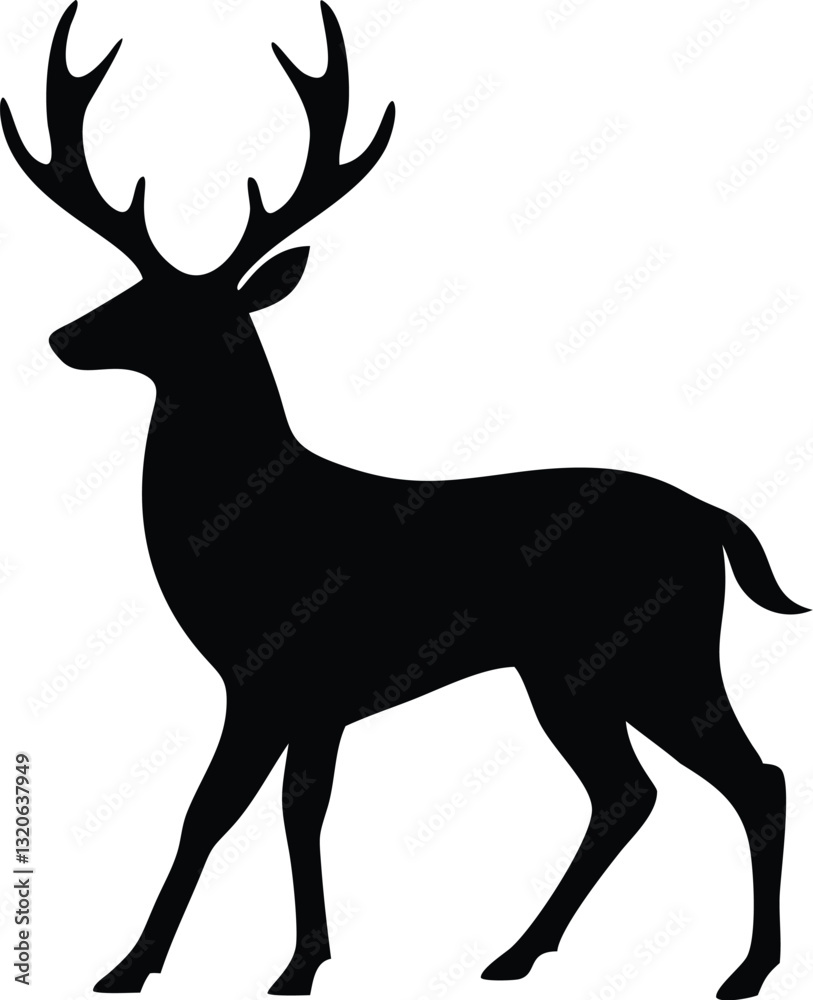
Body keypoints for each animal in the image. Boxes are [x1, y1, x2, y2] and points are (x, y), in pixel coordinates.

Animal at [2, 2, 807, 998]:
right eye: (132, 288)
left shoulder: (270, 677)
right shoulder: (314, 697)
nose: (62, 335)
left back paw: (743, 970)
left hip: (661, 653)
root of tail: (719, 524)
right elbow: (296, 811)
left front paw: (140, 965)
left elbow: (216, 811)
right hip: (569, 673)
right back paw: (516, 952)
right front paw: (293, 960)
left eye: (177, 308)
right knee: (628, 790)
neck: (242, 532)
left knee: (751, 778)